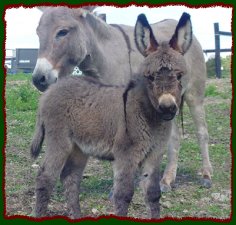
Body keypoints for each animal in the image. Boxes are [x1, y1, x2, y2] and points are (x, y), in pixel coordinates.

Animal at [29, 12, 192, 218]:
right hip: (59, 141)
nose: (168, 108)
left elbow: (153, 194)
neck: (149, 115)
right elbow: (123, 195)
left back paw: (76, 215)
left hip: (79, 147)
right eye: (149, 76)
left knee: (70, 177)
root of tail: (50, 91)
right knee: (46, 178)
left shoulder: (154, 155)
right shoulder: (126, 155)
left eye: (179, 76)